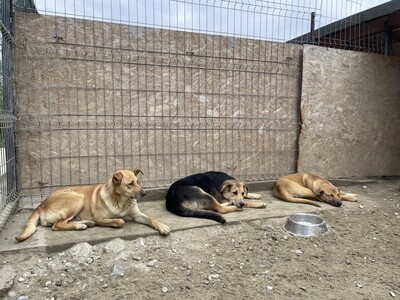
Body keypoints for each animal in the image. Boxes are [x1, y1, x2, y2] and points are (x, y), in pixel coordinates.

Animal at [14, 169, 169, 241]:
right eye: (130, 184)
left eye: (138, 182)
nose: (144, 193)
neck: (121, 201)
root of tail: (40, 205)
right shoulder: (100, 218)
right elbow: (120, 221)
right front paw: (116, 221)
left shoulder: (137, 215)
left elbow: (151, 218)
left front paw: (162, 226)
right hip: (77, 198)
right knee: (57, 225)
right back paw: (81, 225)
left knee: (63, 222)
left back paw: (84, 223)